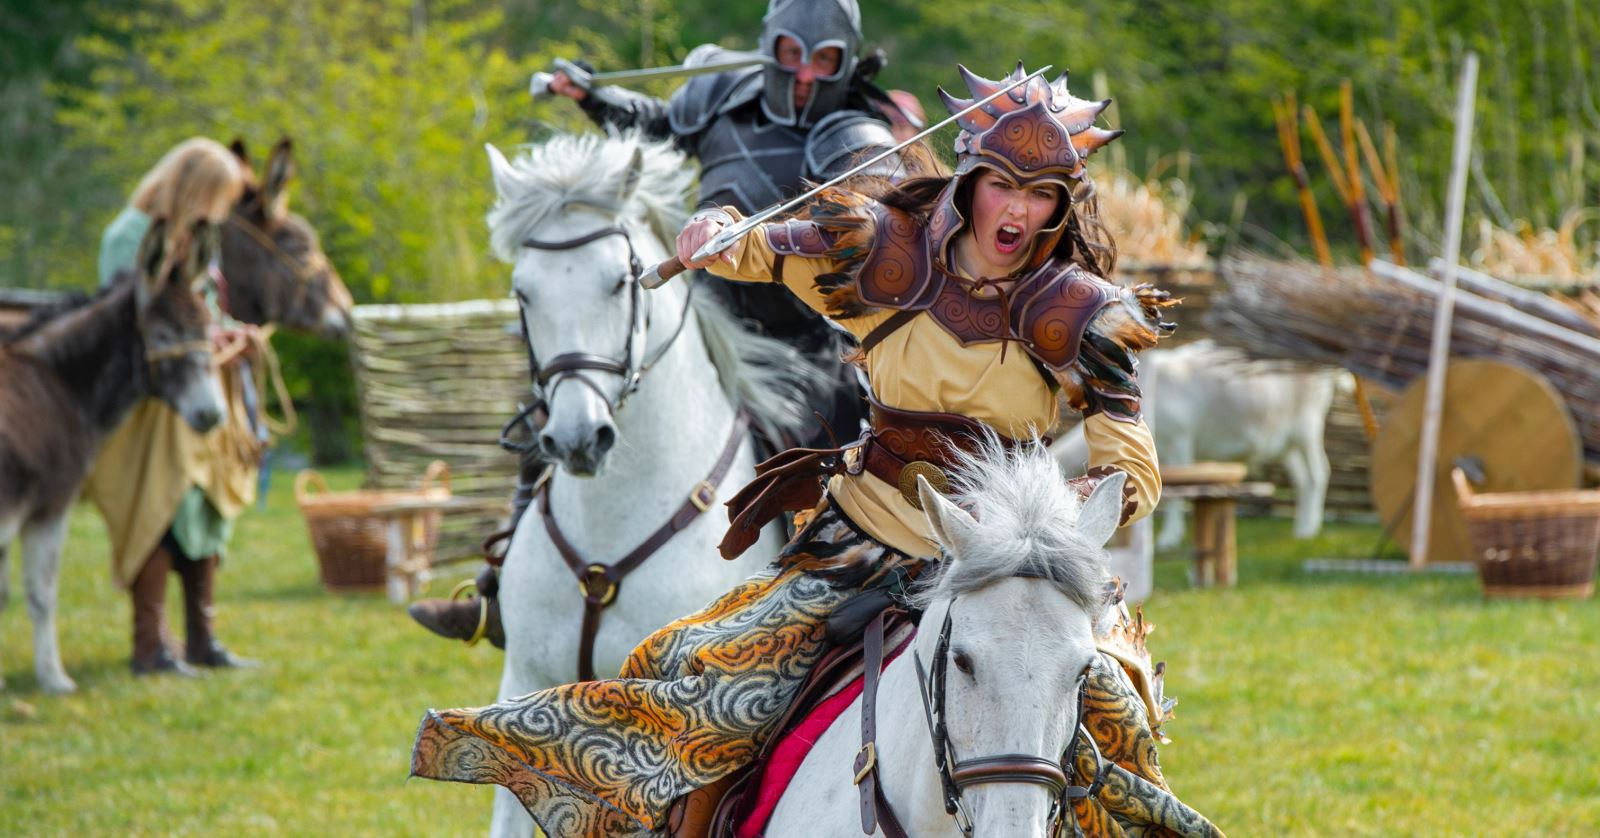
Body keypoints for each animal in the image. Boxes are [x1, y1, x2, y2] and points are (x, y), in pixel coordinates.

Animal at [1056, 340, 1344, 550]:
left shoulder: (1179, 441)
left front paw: (1169, 538)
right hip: (1285, 441)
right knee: (1302, 479)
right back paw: (1301, 527)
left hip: (1308, 426)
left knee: (1318, 472)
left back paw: (1308, 531)